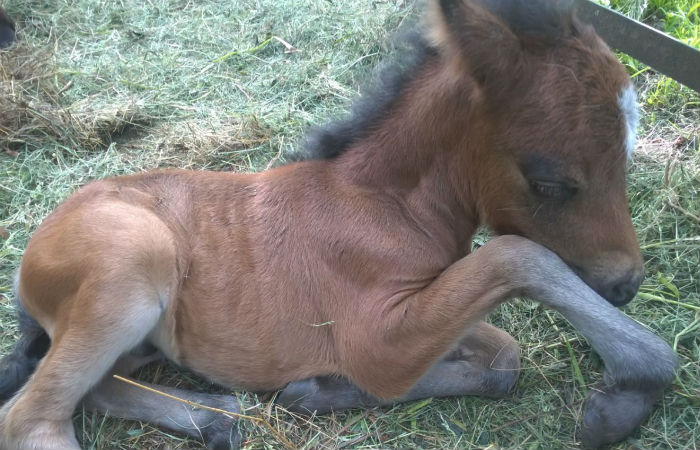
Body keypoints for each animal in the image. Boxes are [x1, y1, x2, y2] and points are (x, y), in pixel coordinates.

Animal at [0, 0, 680, 450]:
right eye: (551, 182)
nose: (625, 284)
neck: (383, 204)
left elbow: (504, 356)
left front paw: (315, 390)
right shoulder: (377, 334)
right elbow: (520, 256)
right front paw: (637, 384)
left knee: (99, 387)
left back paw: (220, 417)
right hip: (129, 265)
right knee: (32, 416)